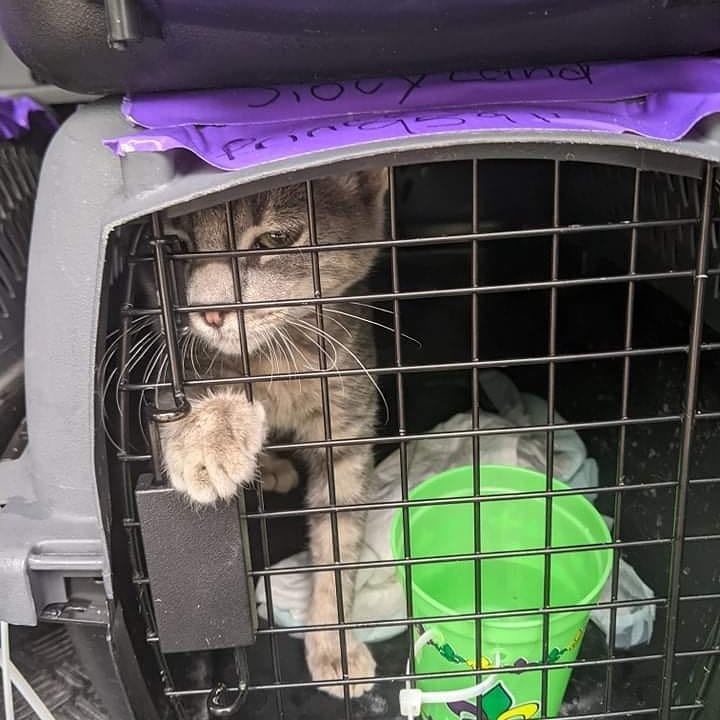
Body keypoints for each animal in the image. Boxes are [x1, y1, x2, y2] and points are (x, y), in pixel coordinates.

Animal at [158, 170, 388, 696]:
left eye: (276, 240)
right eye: (179, 246)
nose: (210, 312)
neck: (279, 361)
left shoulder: (347, 431)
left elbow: (339, 545)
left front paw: (334, 645)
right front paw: (208, 436)